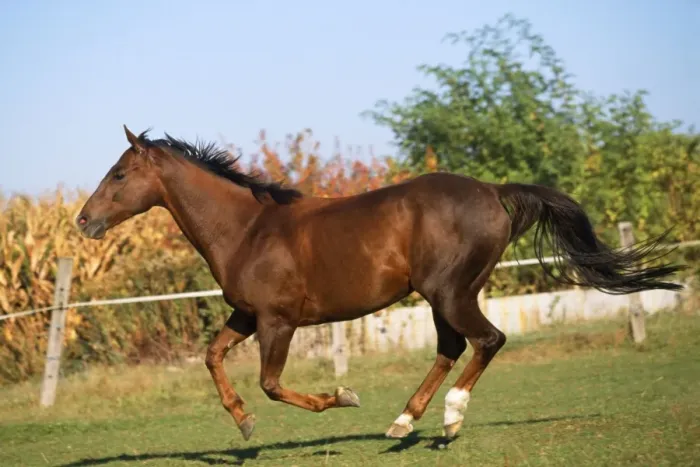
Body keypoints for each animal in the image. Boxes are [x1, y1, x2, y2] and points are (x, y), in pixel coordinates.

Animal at [76, 125, 683, 441]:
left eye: (119, 174)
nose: (83, 221)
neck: (248, 229)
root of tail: (492, 190)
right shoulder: (245, 315)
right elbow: (211, 356)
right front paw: (244, 423)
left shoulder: (277, 321)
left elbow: (273, 384)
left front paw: (343, 396)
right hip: (445, 295)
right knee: (452, 347)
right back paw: (402, 422)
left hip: (449, 292)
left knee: (485, 341)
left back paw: (449, 420)